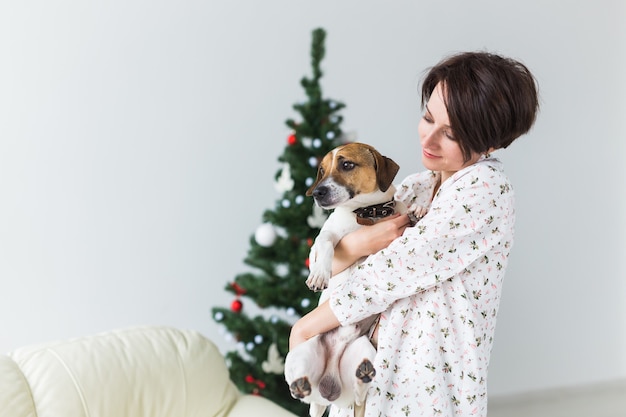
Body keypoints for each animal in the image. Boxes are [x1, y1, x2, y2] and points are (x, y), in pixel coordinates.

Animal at [284, 142, 422, 416]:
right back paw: (301, 385)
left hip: (364, 350)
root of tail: (327, 389)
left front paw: (418, 209)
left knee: (360, 393)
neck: (368, 214)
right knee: (299, 388)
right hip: (300, 354)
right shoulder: (325, 237)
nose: (317, 193)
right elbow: (325, 244)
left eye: (347, 164)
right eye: (321, 170)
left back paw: (361, 376)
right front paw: (318, 274)